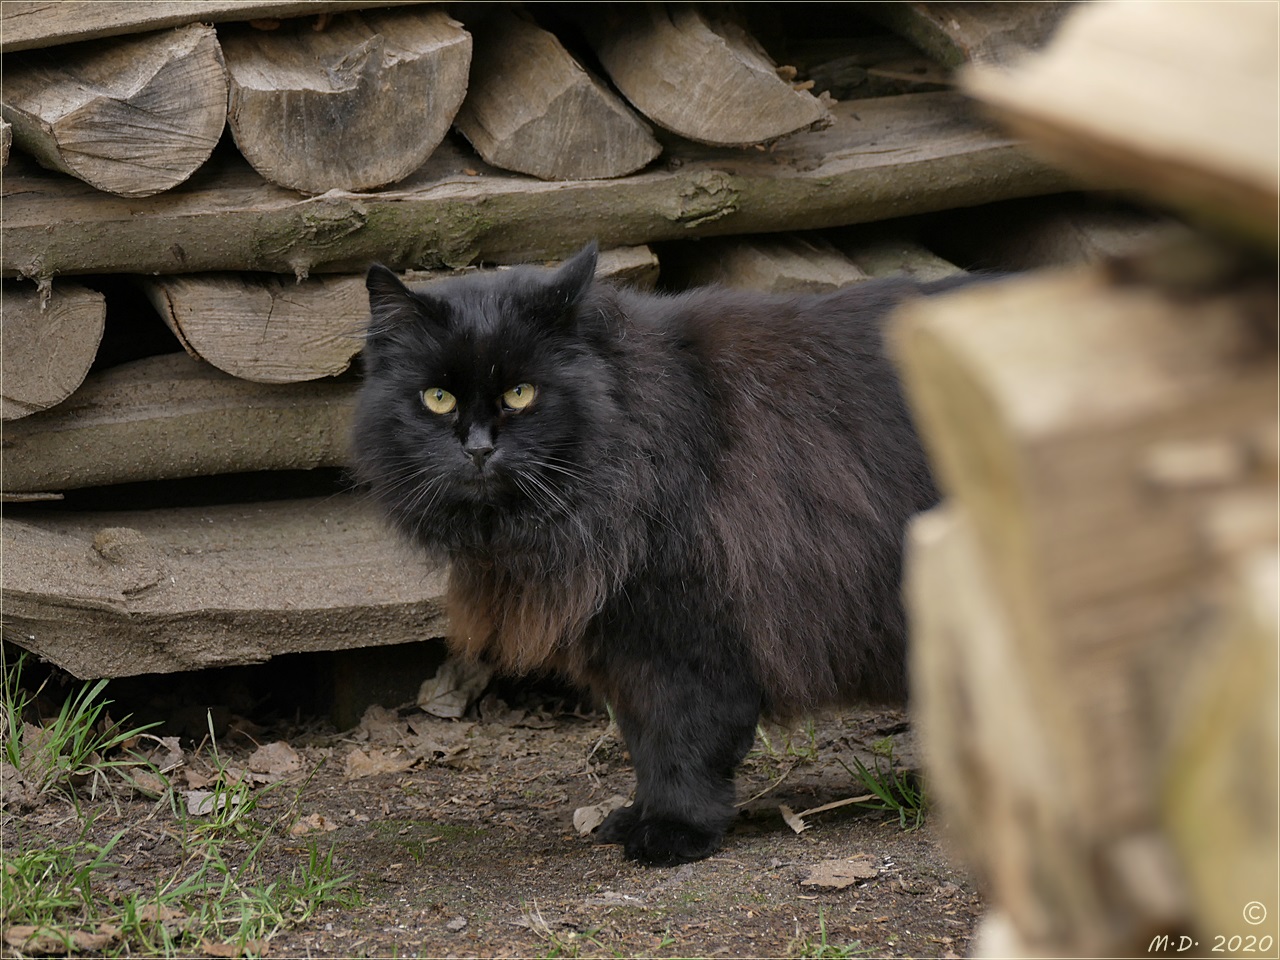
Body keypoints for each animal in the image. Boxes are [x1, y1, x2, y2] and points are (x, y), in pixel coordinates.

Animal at [350, 244, 962, 870]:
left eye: (521, 393)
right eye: (437, 398)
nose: (477, 449)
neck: (630, 428)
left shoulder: (684, 640)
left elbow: (681, 745)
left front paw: (673, 831)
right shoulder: (628, 647)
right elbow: (645, 745)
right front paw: (636, 817)